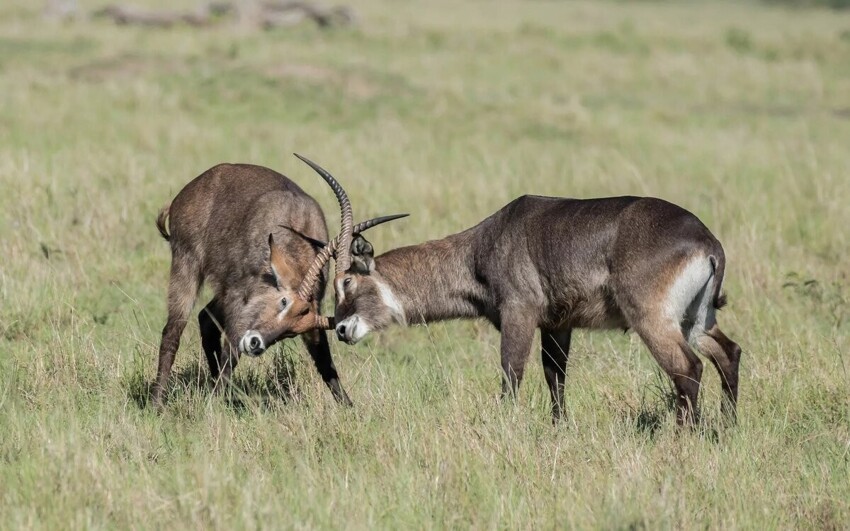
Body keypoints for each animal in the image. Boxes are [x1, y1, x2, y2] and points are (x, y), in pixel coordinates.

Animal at [308, 177, 740, 426]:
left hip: (653, 320)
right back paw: (728, 428)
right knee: (728, 353)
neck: (481, 247)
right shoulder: (557, 324)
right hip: (696, 320)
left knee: (688, 368)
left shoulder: (520, 314)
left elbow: (511, 373)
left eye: (346, 281)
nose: (341, 328)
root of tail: (707, 241)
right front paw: (559, 428)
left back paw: (686, 435)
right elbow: (555, 376)